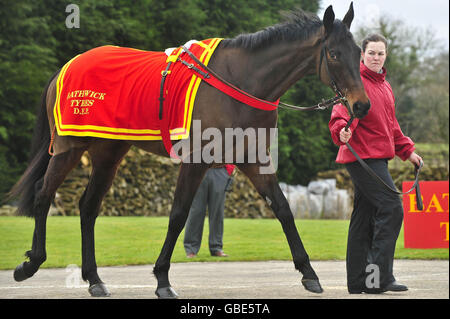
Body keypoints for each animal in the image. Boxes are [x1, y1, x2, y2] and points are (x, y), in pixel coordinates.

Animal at [7, 3, 370, 298]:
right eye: (334, 54)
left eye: (358, 53)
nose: (361, 106)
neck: (240, 82)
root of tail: (66, 67)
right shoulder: (195, 161)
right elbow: (179, 214)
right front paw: (162, 279)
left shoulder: (253, 160)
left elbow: (283, 209)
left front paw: (309, 273)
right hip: (68, 148)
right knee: (43, 195)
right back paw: (31, 264)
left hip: (108, 153)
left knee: (87, 207)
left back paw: (95, 280)